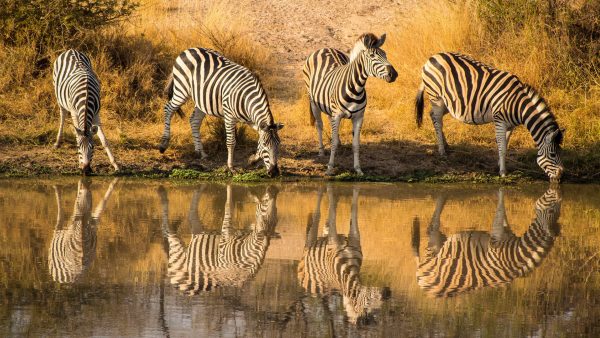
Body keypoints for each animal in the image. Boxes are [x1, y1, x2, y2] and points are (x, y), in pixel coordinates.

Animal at [157, 47, 284, 177]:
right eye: (265, 145)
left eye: (279, 145)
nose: (274, 172)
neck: (246, 99)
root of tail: (188, 49)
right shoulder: (229, 117)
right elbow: (231, 142)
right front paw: (231, 167)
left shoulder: (253, 121)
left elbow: (258, 138)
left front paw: (253, 159)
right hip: (181, 91)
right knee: (168, 109)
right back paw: (163, 144)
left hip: (202, 99)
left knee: (194, 121)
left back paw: (200, 152)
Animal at [298, 185, 392, 324]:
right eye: (367, 304)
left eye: (378, 309)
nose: (388, 293)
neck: (349, 261)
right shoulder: (333, 241)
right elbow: (332, 213)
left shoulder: (355, 236)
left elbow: (354, 209)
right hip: (310, 244)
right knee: (318, 214)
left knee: (326, 222)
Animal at [304, 33, 398, 176]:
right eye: (372, 56)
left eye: (385, 54)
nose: (394, 74)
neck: (356, 88)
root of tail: (325, 48)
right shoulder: (337, 115)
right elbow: (333, 143)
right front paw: (330, 168)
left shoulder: (359, 117)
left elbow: (356, 144)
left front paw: (358, 169)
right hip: (313, 101)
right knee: (319, 125)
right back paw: (321, 151)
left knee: (329, 121)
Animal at [412, 189, 564, 298]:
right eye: (552, 210)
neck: (515, 253)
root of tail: (422, 283)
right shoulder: (496, 239)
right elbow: (500, 211)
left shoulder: (505, 231)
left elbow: (504, 217)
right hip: (435, 247)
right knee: (432, 227)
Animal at [414, 52, 564, 182]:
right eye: (552, 154)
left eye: (561, 152)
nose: (560, 177)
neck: (518, 105)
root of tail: (433, 57)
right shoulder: (499, 120)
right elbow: (502, 147)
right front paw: (503, 172)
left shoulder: (510, 125)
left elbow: (505, 145)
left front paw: (499, 164)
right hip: (436, 98)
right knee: (438, 121)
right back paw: (442, 150)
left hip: (447, 103)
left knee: (432, 115)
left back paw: (445, 144)